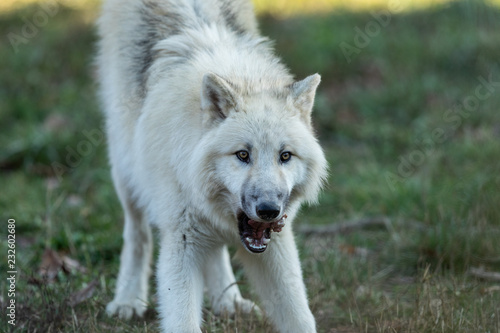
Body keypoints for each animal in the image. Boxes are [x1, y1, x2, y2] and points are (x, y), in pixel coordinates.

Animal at [96, 0, 328, 330]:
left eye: (285, 156)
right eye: (242, 155)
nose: (268, 210)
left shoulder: (277, 242)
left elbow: (299, 315)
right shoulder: (181, 241)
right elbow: (182, 318)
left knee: (215, 249)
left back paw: (228, 300)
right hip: (126, 167)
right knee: (137, 234)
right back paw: (128, 300)